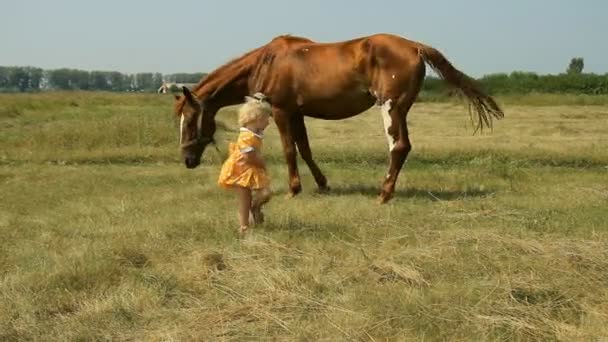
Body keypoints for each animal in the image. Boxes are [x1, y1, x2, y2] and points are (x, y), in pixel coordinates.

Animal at [172, 33, 504, 202]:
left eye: (190, 119)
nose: (187, 160)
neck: (267, 62)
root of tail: (415, 47)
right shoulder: (297, 113)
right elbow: (305, 150)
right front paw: (322, 184)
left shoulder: (280, 111)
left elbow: (289, 150)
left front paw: (293, 190)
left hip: (391, 107)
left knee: (398, 147)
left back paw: (384, 194)